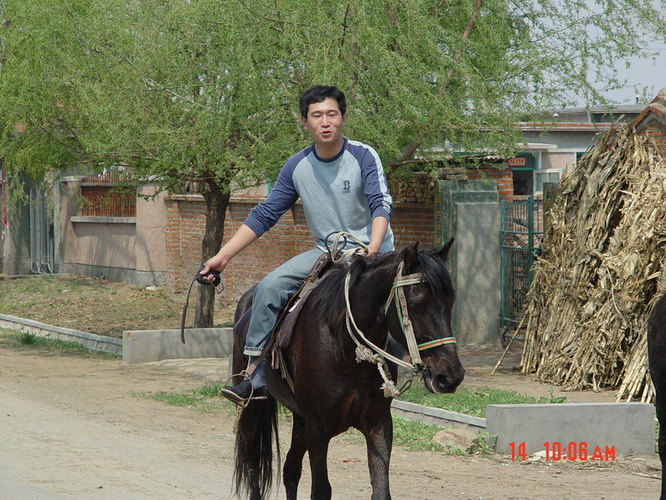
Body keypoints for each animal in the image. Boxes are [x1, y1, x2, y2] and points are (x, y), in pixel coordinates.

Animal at [231, 240, 464, 498]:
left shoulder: (378, 423)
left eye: (451, 302)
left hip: (300, 417)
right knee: (253, 464)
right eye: (415, 305)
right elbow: (321, 489)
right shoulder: (318, 429)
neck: (345, 348)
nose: (450, 376)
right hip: (253, 407)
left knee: (290, 469)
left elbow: (381, 490)